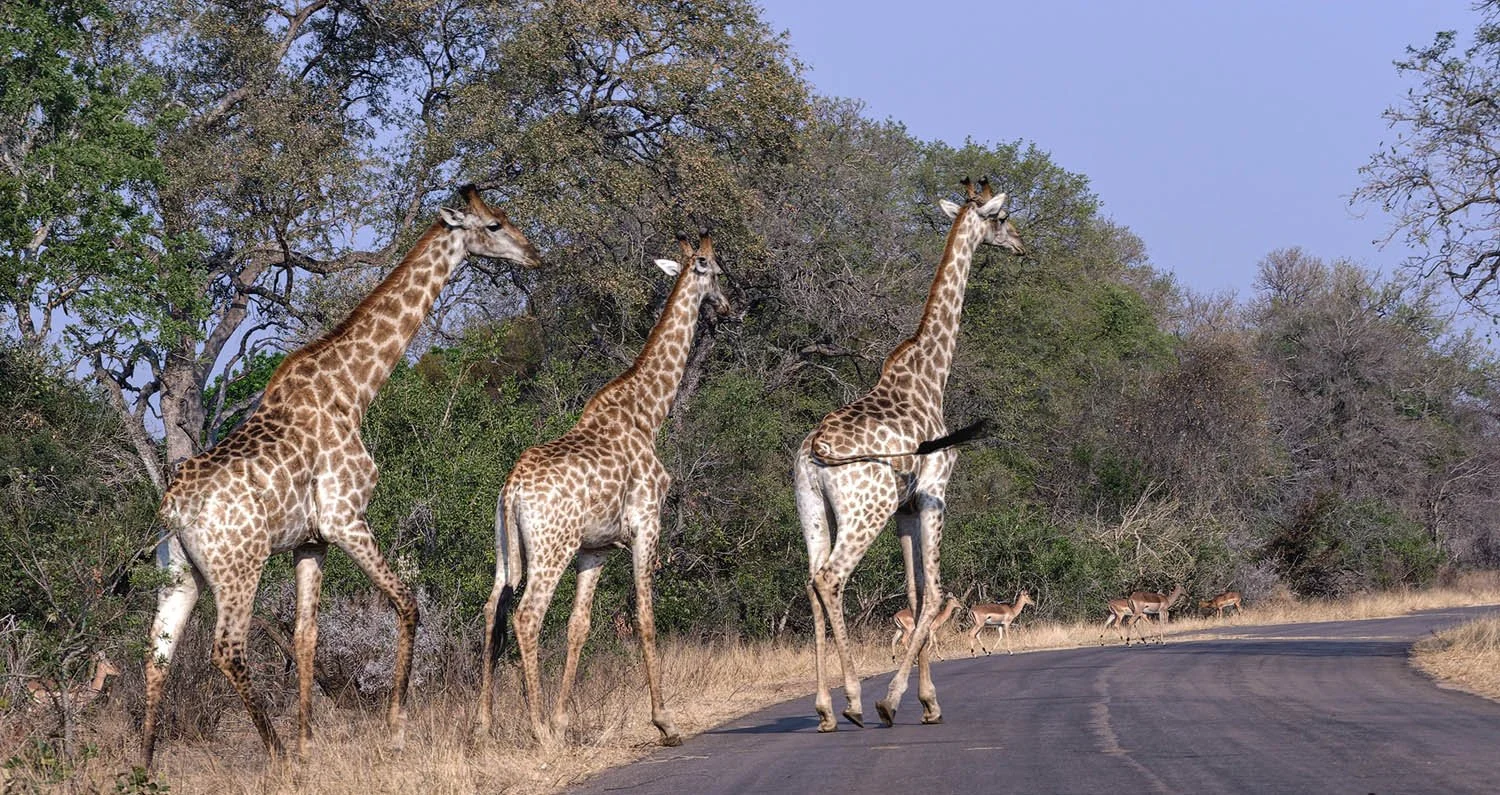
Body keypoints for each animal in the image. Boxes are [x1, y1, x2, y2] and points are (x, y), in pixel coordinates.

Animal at [140, 186, 540, 767]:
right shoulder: (346, 517)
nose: (534, 255)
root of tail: (172, 506)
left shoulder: (312, 540)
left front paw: (310, 745)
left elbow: (306, 636)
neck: (353, 391)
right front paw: (393, 730)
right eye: (493, 224)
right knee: (227, 649)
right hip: (239, 566)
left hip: (180, 571)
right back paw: (276, 756)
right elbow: (407, 603)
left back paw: (146, 766)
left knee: (158, 655)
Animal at [479, 233, 730, 747]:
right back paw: (537, 730)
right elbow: (645, 617)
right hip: (551, 548)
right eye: (716, 271)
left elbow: (580, 626)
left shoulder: (594, 549)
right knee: (526, 616)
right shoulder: (647, 526)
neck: (649, 414)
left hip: (505, 550)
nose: (728, 308)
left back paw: (484, 726)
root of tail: (512, 488)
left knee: (493, 611)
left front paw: (563, 720)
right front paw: (665, 721)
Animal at [796, 178, 1026, 732]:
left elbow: (916, 592)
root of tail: (816, 448)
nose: (1021, 245)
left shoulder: (905, 508)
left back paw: (824, 709)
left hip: (813, 506)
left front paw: (925, 700)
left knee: (811, 582)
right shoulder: (934, 493)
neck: (930, 375)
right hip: (866, 508)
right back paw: (854, 701)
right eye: (1002, 218)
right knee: (831, 579)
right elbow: (935, 592)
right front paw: (898, 700)